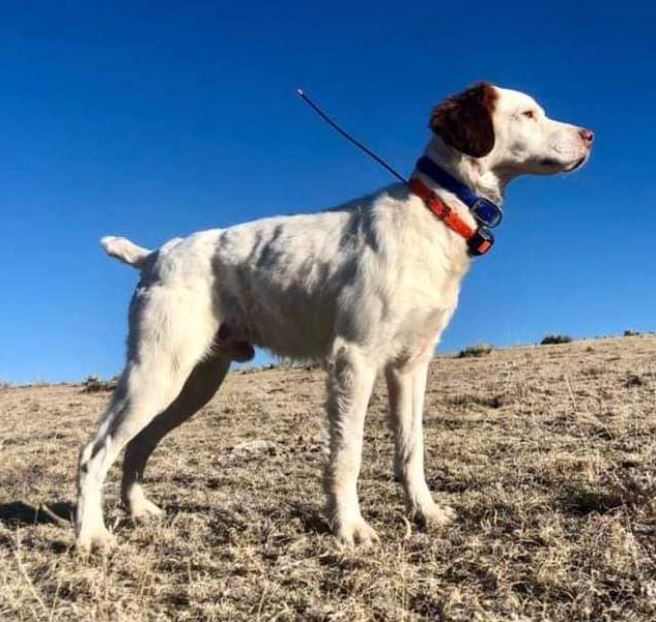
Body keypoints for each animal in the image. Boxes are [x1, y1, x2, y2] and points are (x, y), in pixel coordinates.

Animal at [74, 81, 592, 552]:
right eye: (528, 113)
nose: (590, 134)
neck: (434, 213)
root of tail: (154, 255)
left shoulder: (411, 366)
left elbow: (412, 448)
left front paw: (424, 512)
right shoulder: (354, 359)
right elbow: (348, 452)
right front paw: (350, 527)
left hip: (193, 382)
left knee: (136, 444)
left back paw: (137, 510)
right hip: (157, 371)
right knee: (93, 451)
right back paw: (91, 536)